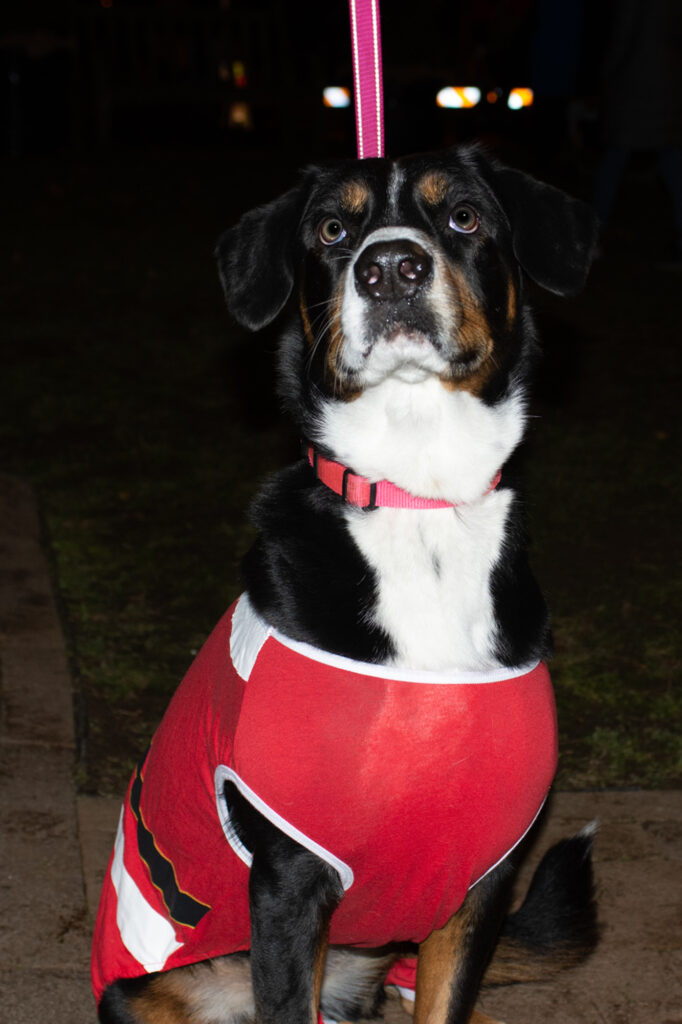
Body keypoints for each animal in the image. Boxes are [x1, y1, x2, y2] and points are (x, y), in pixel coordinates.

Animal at [92, 144, 600, 1024]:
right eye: (332, 229)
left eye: (464, 214)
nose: (390, 267)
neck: (416, 497)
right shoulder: (292, 883)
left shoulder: (480, 883)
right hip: (156, 990)